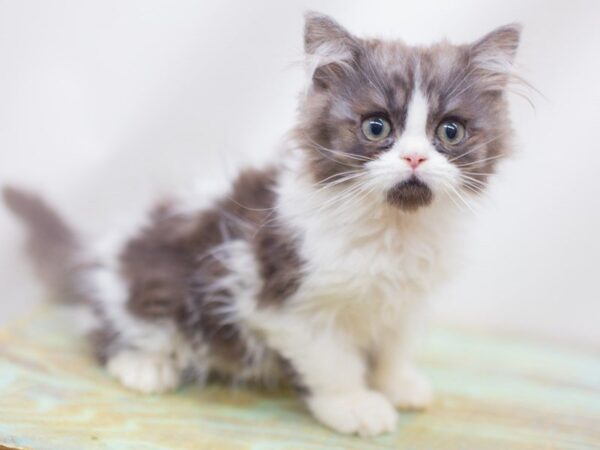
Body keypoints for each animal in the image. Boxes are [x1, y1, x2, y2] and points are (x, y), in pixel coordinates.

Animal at [3, 12, 520, 438]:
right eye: (376, 127)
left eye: (450, 131)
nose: (414, 157)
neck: (393, 229)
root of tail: (104, 255)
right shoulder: (286, 299)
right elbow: (332, 361)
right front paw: (353, 405)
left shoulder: (408, 299)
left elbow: (393, 343)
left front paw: (396, 383)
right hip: (151, 285)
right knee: (105, 326)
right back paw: (144, 365)